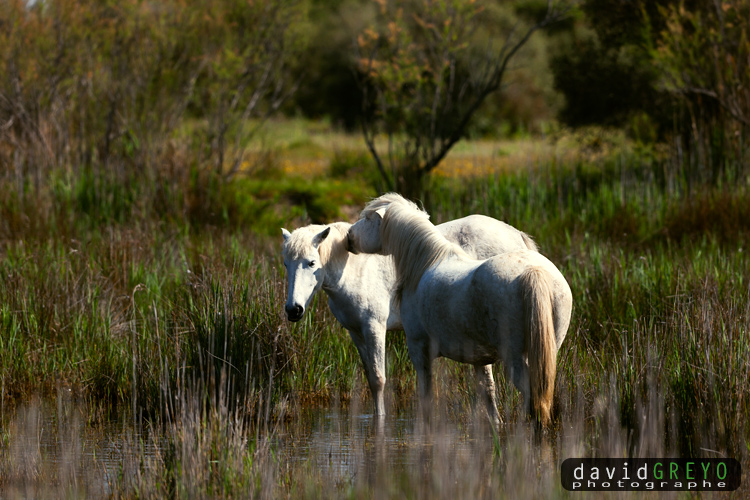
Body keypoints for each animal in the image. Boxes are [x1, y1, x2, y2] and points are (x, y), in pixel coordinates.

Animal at [284, 201, 540, 416]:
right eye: (286, 264)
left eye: (312, 263)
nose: (293, 310)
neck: (353, 270)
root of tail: (514, 234)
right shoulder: (355, 333)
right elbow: (371, 379)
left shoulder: (374, 328)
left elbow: (379, 379)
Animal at [348, 192, 576, 426]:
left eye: (368, 219)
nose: (349, 237)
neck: (426, 263)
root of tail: (533, 271)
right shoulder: (479, 357)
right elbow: (487, 390)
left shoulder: (419, 350)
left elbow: (426, 397)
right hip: (548, 350)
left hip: (514, 356)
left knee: (534, 399)